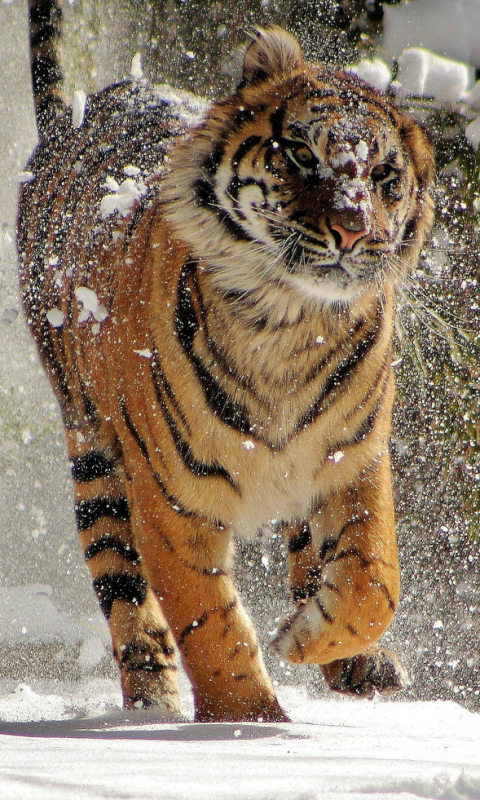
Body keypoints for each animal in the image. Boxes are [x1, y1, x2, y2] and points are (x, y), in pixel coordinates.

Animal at [16, 0, 434, 720]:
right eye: (301, 154)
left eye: (384, 177)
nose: (352, 229)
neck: (289, 325)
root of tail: (72, 116)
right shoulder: (171, 500)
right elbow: (210, 624)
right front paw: (244, 724)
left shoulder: (353, 459)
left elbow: (374, 578)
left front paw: (308, 640)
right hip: (92, 450)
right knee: (121, 584)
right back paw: (153, 694)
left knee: (312, 556)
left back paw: (355, 661)